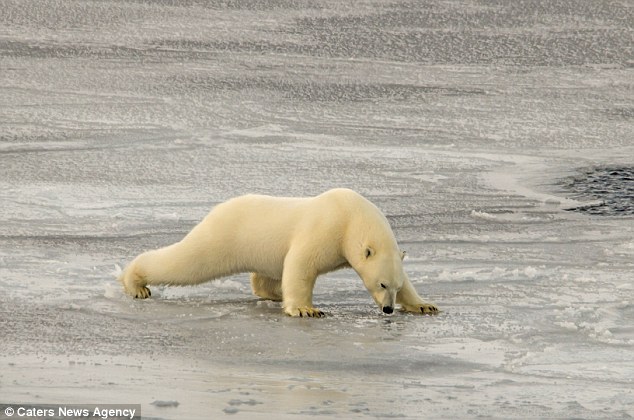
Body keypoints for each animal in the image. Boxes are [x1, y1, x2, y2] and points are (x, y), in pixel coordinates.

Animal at [118, 189, 436, 316]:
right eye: (381, 284)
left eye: (394, 286)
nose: (388, 309)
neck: (351, 217)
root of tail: (217, 210)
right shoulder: (325, 229)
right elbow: (301, 264)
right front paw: (306, 309)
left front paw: (424, 305)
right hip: (223, 236)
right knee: (187, 261)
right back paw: (136, 284)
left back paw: (273, 291)